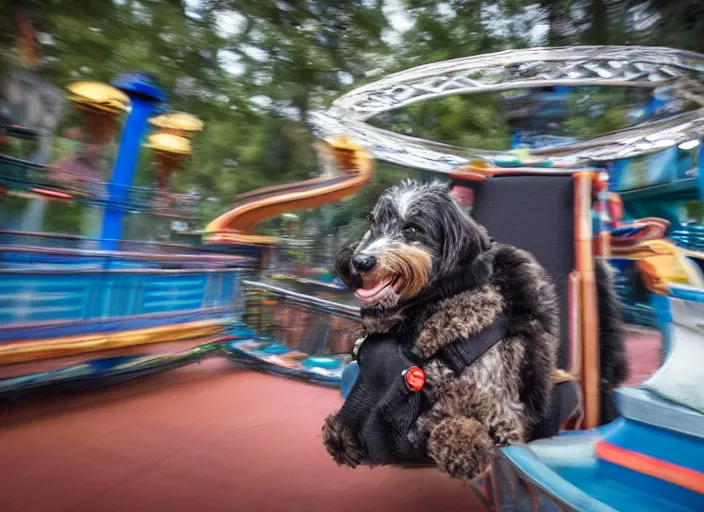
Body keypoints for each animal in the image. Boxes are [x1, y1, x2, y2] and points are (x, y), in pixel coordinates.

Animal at [324, 179, 628, 480]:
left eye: (412, 228)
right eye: (373, 223)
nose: (360, 262)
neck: (440, 297)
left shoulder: (497, 411)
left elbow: (455, 426)